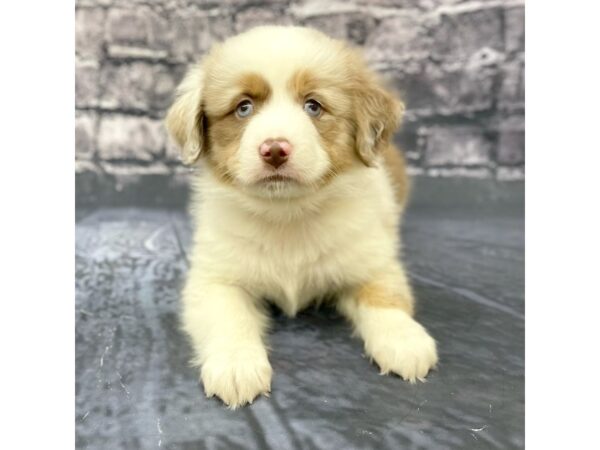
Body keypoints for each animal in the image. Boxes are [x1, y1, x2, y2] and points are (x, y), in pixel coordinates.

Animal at [166, 26, 438, 410]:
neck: (287, 214)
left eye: (313, 106)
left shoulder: (372, 261)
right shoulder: (214, 276)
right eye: (243, 107)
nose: (274, 150)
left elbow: (385, 297)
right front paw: (236, 365)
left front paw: (404, 340)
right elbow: (227, 315)